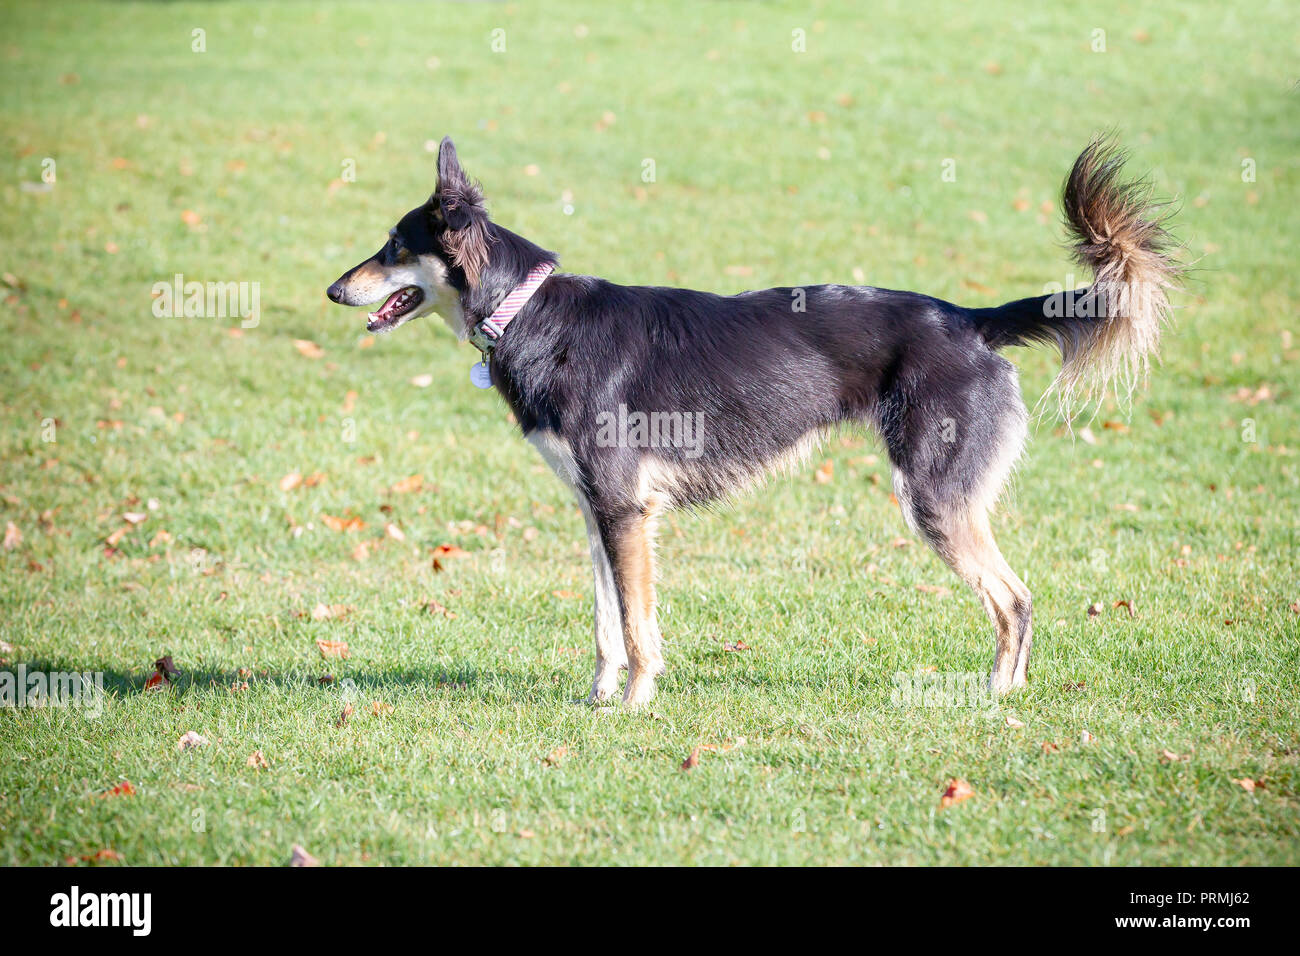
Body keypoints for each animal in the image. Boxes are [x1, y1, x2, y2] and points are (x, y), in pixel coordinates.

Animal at [322, 134, 1180, 707]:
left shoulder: (626, 510)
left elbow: (637, 625)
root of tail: (968, 320)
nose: (333, 290)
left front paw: (636, 703)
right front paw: (600, 699)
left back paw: (998, 696)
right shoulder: (598, 511)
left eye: (393, 247)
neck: (532, 314)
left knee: (1015, 599)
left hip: (936, 500)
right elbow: (605, 622)